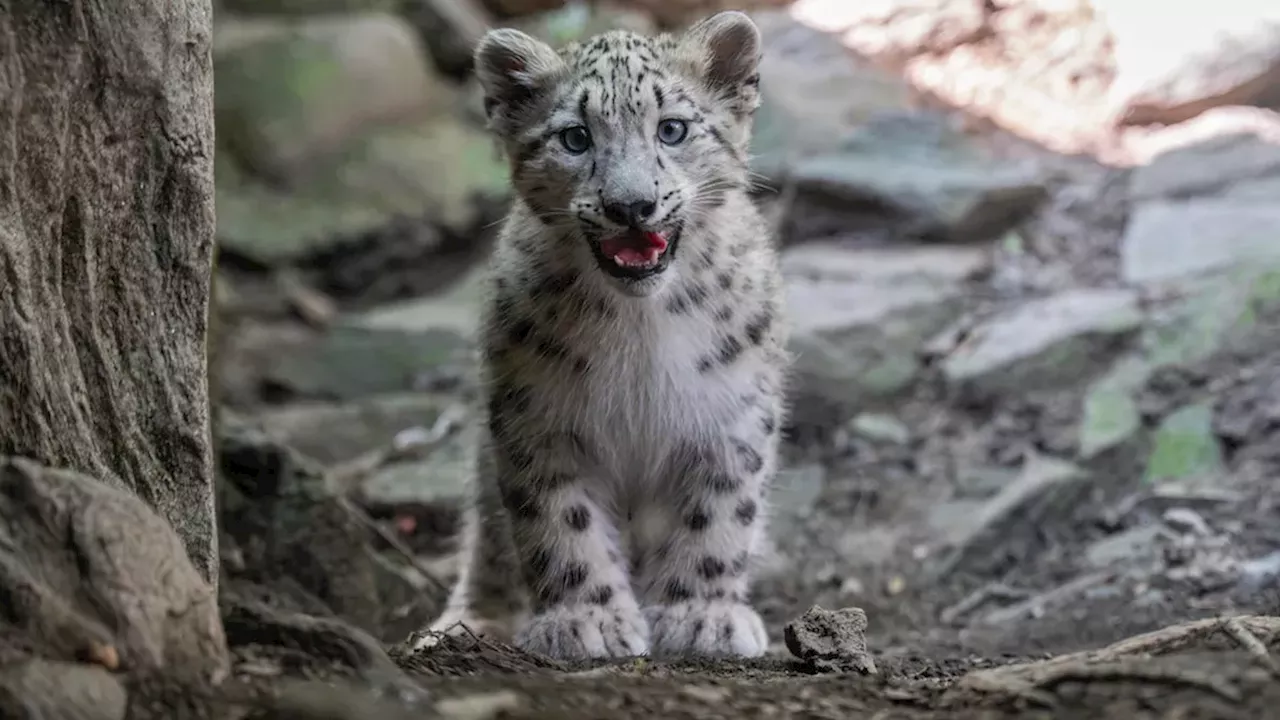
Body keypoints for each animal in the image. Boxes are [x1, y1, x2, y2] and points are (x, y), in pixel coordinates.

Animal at [414, 10, 790, 661]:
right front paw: (586, 620)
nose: (631, 205)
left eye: (671, 129)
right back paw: (468, 623)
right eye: (574, 137)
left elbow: (719, 516)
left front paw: (701, 615)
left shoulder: (731, 414)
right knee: (486, 536)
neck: (641, 329)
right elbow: (560, 523)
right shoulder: (538, 418)